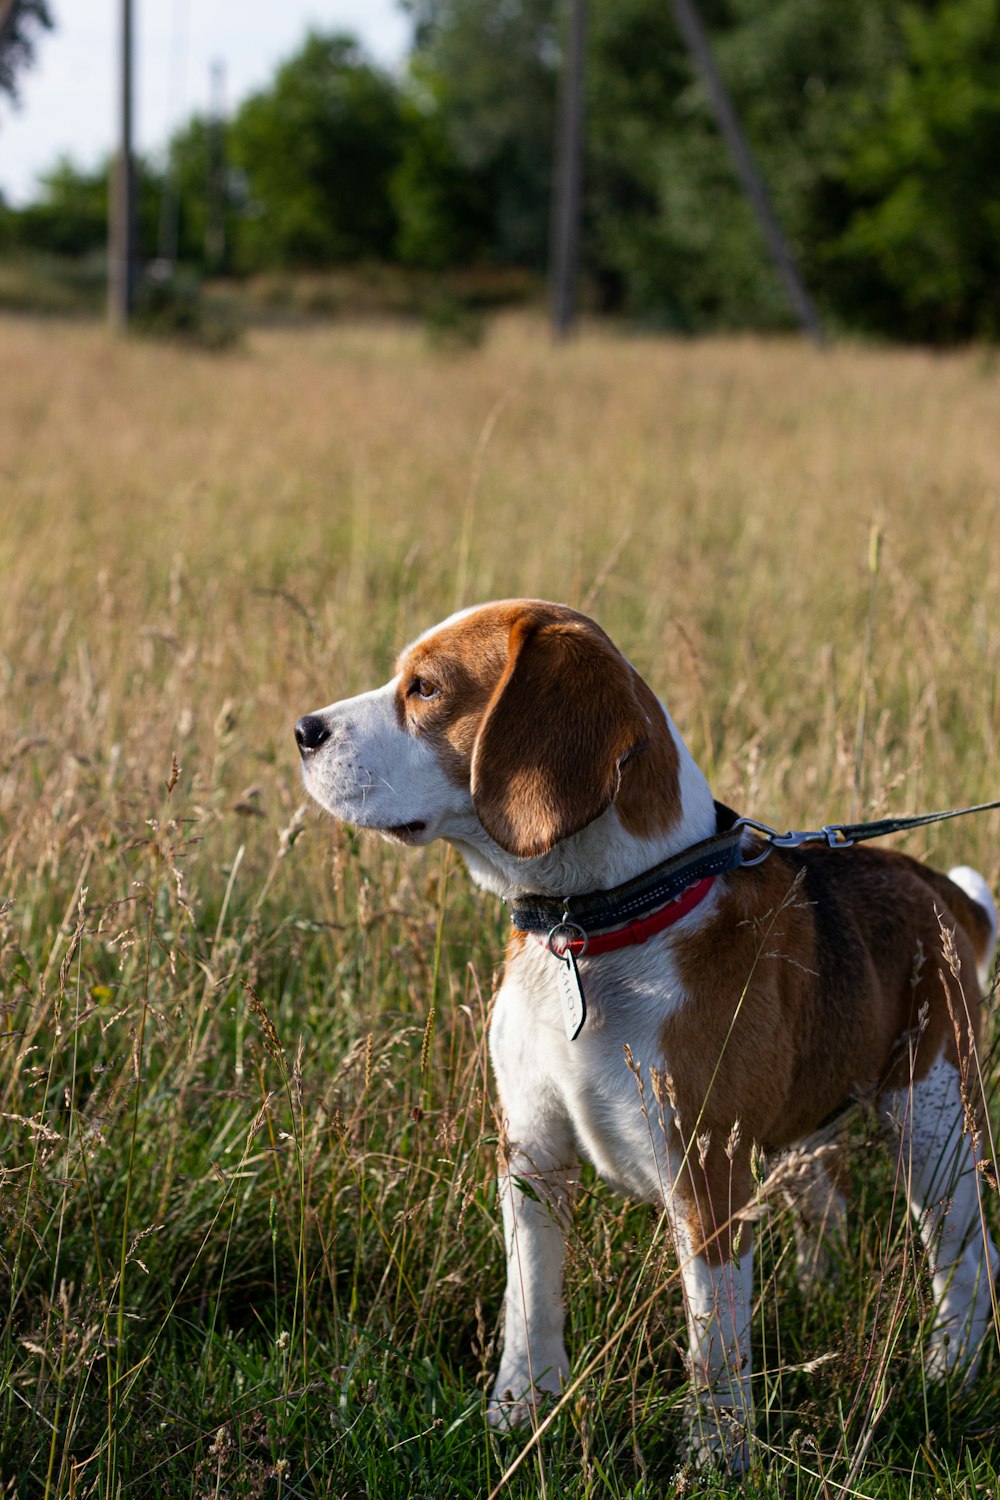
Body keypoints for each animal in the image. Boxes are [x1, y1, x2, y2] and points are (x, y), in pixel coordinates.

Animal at [296, 594, 1000, 1464]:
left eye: (424, 688)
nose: (303, 730)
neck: (595, 930)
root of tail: (942, 893)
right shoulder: (531, 1154)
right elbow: (530, 1304)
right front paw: (519, 1413)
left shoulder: (707, 1179)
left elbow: (714, 1341)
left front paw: (717, 1455)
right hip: (812, 1132)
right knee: (828, 1205)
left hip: (934, 1126)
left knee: (968, 1260)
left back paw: (948, 1374)